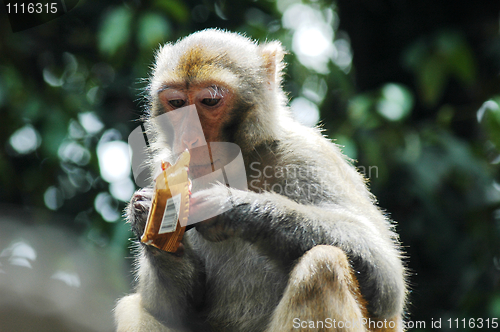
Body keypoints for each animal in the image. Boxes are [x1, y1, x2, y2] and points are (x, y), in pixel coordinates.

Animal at [115, 29, 408, 332]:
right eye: (177, 104)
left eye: (209, 101)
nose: (189, 139)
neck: (241, 161)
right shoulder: (166, 166)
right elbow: (169, 308)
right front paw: (145, 213)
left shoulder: (309, 155)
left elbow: (387, 281)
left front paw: (232, 208)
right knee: (132, 307)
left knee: (323, 266)